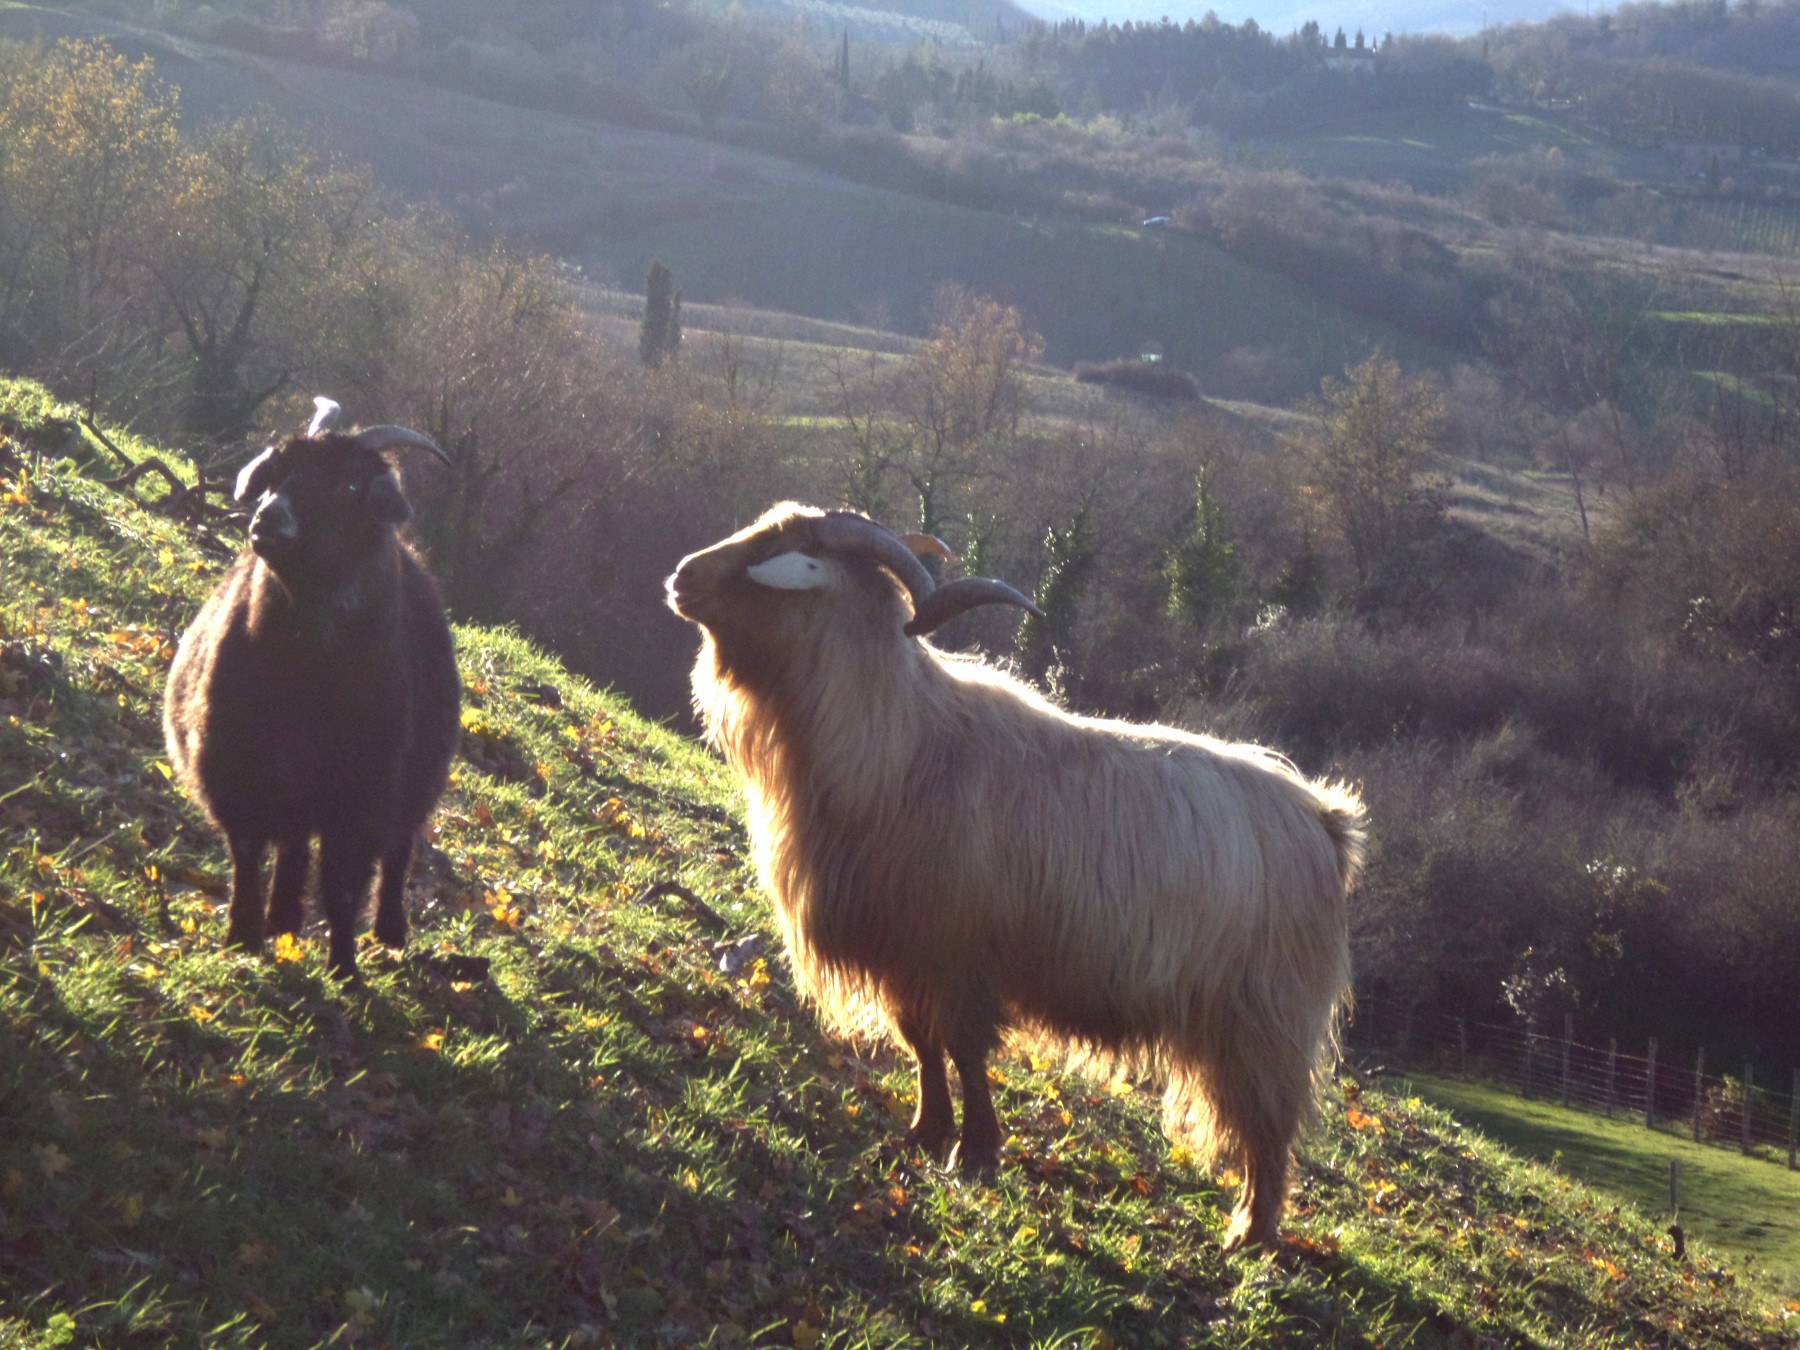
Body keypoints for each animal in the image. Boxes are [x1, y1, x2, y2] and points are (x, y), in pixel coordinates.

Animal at [164, 398, 461, 981]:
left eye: (350, 485)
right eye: (279, 471)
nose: (268, 518)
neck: (306, 680)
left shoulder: (363, 797)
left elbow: (343, 885)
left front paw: (344, 968)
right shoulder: (235, 768)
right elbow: (248, 855)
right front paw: (242, 936)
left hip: (412, 786)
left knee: (399, 850)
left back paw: (389, 931)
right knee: (294, 847)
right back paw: (281, 920)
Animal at [667, 503, 1363, 1249]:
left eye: (784, 550)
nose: (680, 577)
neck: (900, 744)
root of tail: (1325, 819)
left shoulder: (963, 956)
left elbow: (965, 1051)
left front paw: (974, 1154)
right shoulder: (906, 954)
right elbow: (921, 1045)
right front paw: (926, 1133)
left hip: (1267, 1017)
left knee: (1270, 1126)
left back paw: (1250, 1234)